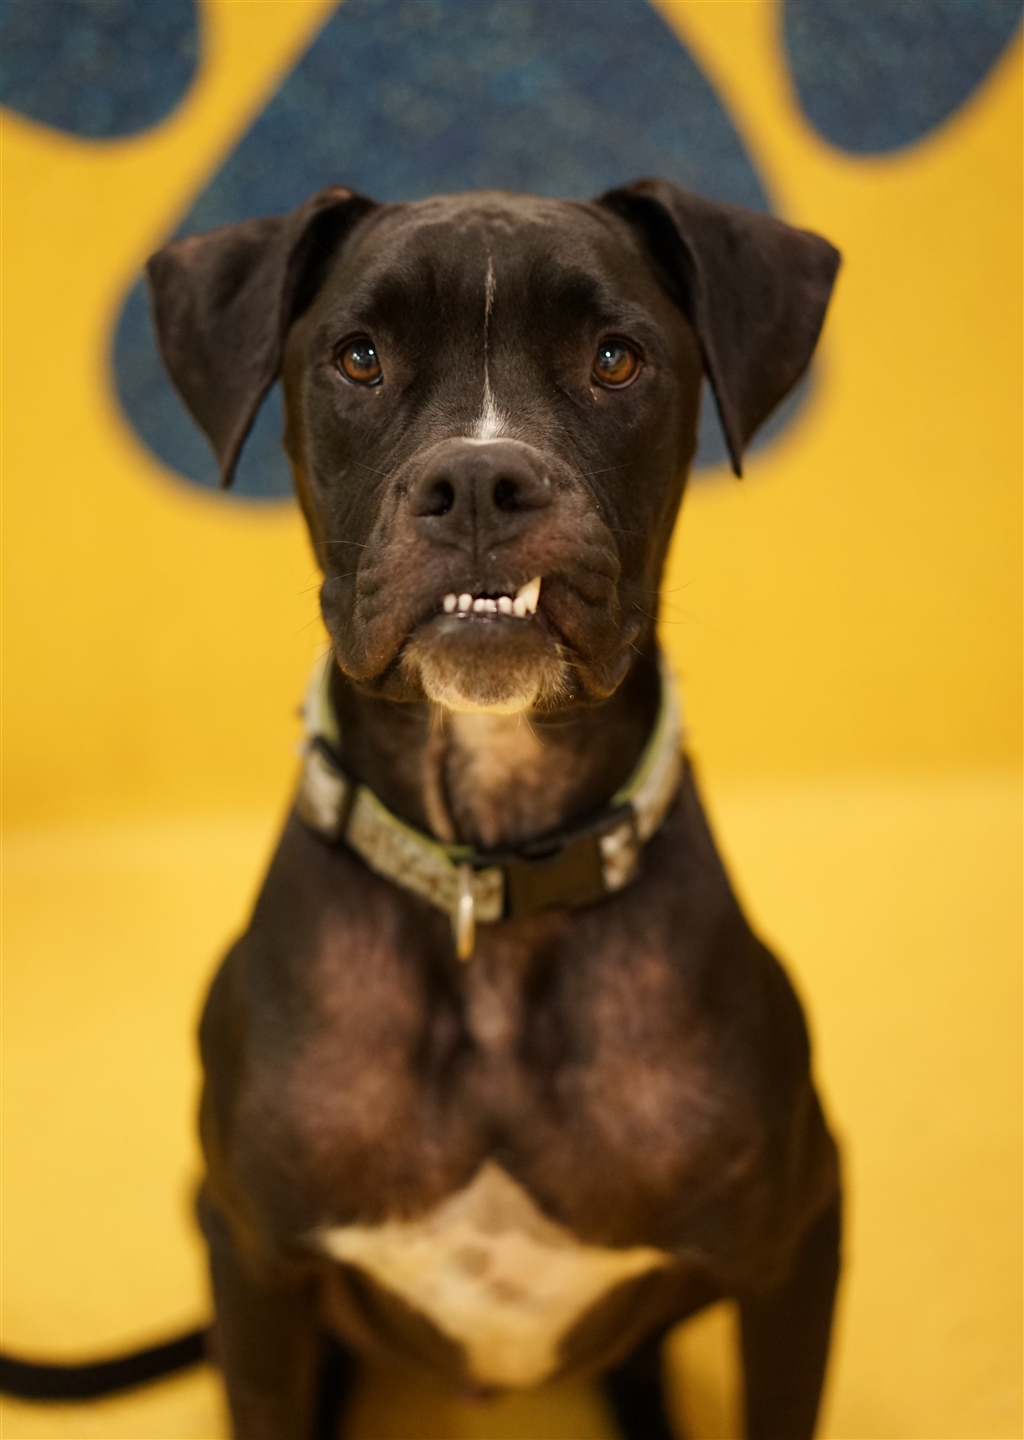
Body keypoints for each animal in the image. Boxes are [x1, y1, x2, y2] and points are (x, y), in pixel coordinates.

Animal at [146, 180, 846, 1440]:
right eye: (358, 357)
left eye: (616, 358)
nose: (478, 482)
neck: (491, 875)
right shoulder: (257, 1269)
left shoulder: (799, 1243)